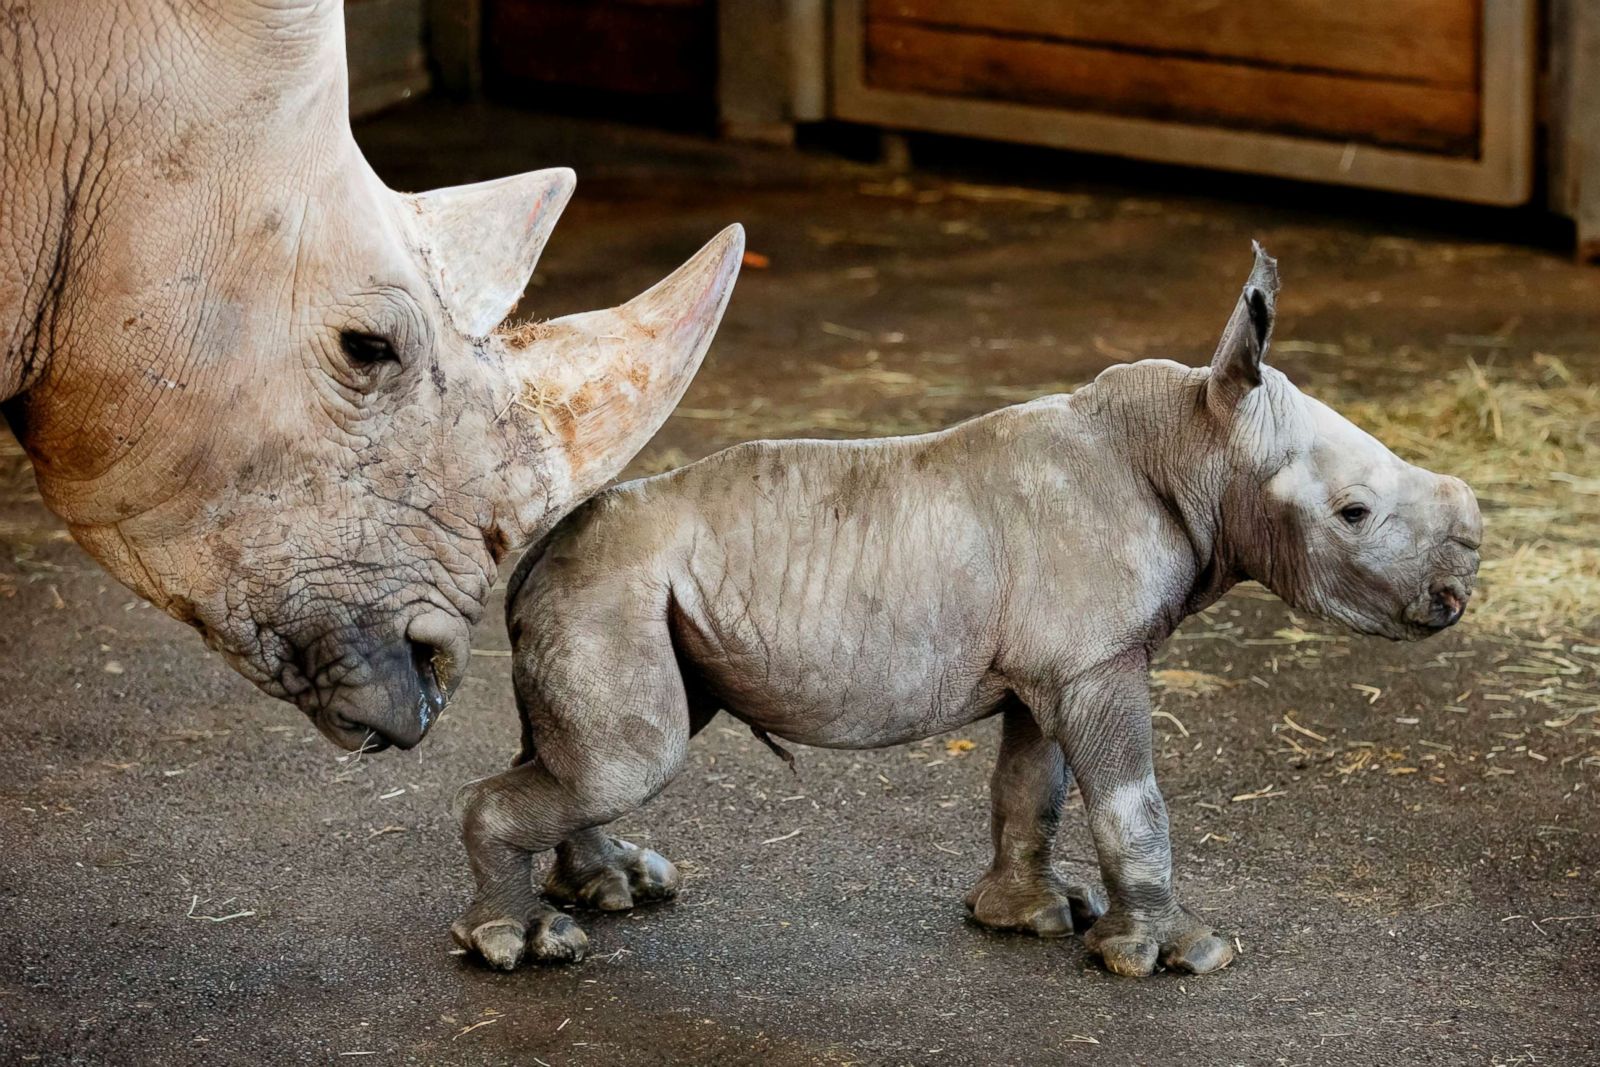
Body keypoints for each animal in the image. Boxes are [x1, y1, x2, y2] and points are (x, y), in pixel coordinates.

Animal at [454, 247, 1484, 979]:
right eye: (1354, 513)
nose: (1457, 592)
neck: (1192, 439)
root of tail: (539, 547)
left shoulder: (1056, 665)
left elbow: (1032, 788)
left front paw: (1032, 917)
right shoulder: (1097, 661)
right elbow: (1134, 802)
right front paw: (1179, 955)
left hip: (613, 587)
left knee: (596, 760)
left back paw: (613, 890)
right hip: (611, 590)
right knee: (631, 757)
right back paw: (523, 944)